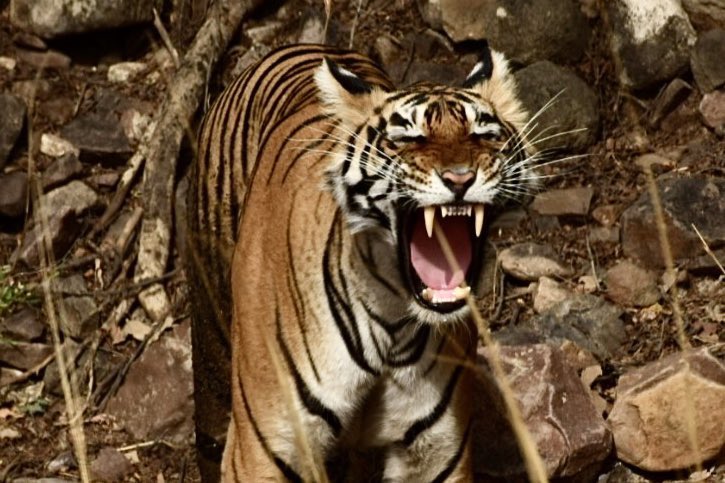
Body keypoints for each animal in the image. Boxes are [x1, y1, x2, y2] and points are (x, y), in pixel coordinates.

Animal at [186, 43, 535, 482]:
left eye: (484, 134)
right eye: (407, 139)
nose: (460, 178)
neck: (392, 325)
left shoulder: (434, 454)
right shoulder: (265, 450)